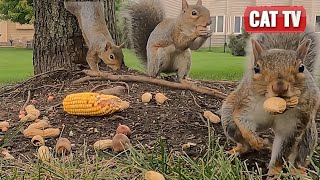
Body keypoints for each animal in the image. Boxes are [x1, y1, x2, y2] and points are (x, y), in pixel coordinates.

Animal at [220, 26, 320, 177]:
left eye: (301, 68)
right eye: (256, 68)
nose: (280, 87)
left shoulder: (294, 123)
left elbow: (282, 149)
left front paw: (274, 172)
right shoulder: (246, 104)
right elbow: (243, 123)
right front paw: (259, 143)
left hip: (307, 129)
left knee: (303, 150)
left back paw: (298, 170)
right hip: (228, 120)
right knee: (242, 140)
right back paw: (239, 149)